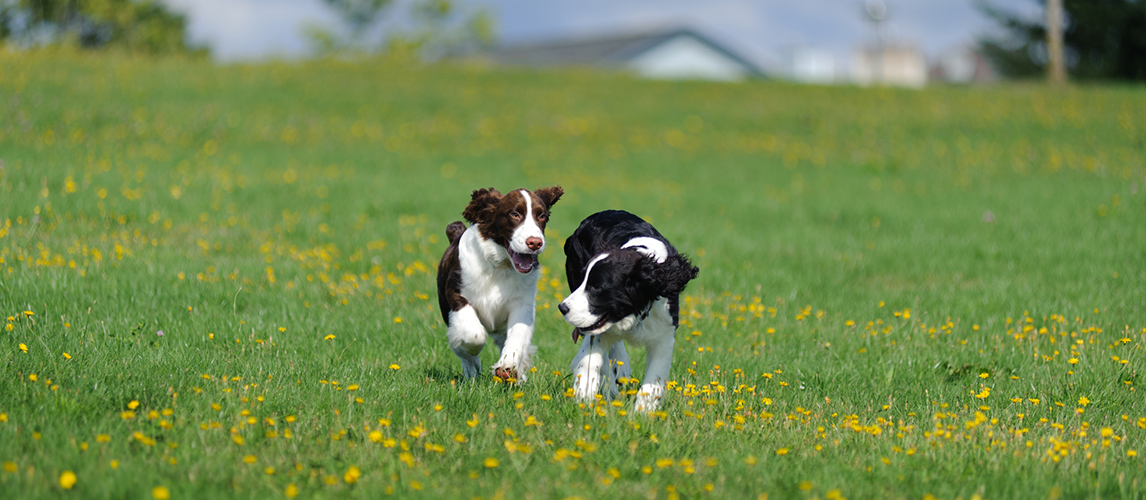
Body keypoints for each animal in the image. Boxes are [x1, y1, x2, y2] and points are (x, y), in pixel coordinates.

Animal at [435, 188, 561, 383]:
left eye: (542, 216)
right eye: (515, 214)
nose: (535, 243)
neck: (500, 265)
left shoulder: (522, 303)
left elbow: (518, 335)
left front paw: (507, 368)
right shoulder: (455, 291)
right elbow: (474, 334)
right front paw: (472, 353)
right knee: (460, 345)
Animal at [556, 209, 696, 410]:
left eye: (596, 287)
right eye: (583, 281)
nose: (562, 308)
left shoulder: (665, 331)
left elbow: (656, 374)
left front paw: (644, 410)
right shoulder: (597, 329)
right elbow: (590, 358)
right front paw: (584, 392)